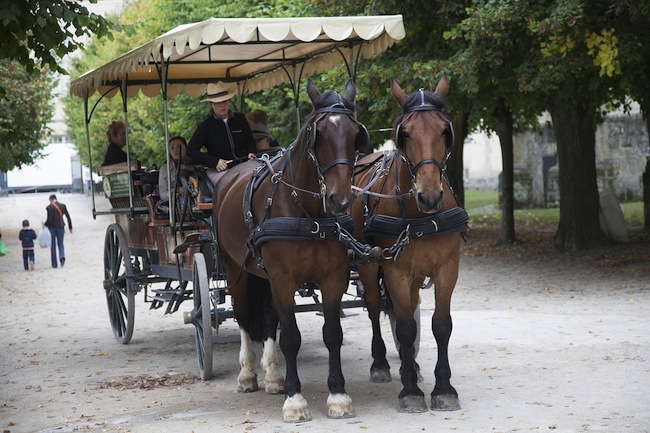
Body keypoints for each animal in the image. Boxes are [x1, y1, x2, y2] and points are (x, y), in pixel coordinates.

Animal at [213, 79, 364, 420]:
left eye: (354, 134)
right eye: (318, 134)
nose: (340, 199)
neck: (307, 212)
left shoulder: (333, 276)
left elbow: (332, 333)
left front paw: (338, 395)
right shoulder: (283, 278)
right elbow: (291, 337)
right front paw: (295, 400)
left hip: (263, 275)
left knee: (269, 320)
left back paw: (272, 376)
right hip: (235, 269)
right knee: (243, 317)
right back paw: (248, 375)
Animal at [350, 74, 466, 412]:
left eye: (444, 131)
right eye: (405, 133)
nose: (429, 196)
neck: (420, 215)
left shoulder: (447, 268)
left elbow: (440, 325)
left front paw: (443, 387)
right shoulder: (395, 270)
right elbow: (403, 326)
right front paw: (411, 391)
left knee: (410, 308)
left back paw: (409, 365)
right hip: (367, 264)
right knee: (375, 308)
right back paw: (382, 364)